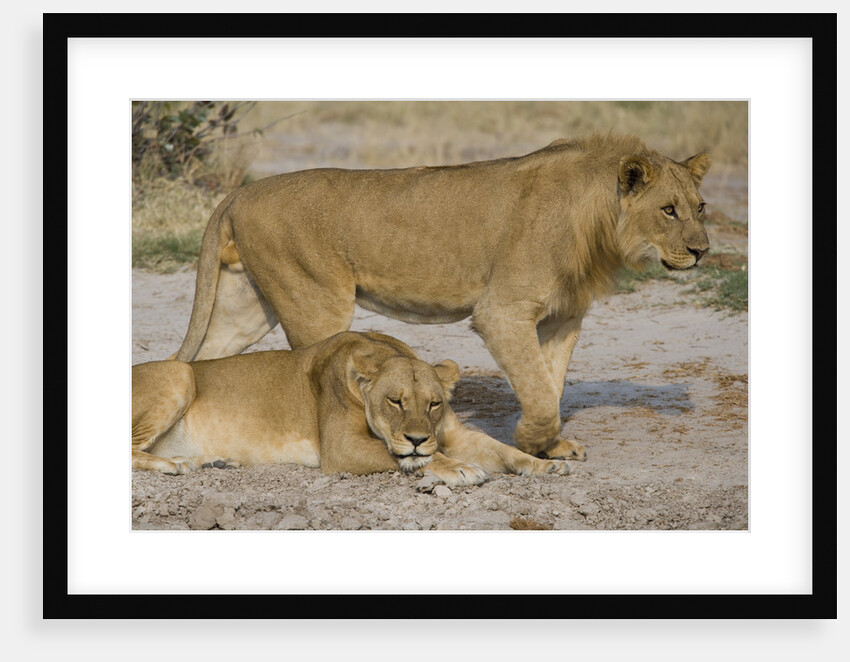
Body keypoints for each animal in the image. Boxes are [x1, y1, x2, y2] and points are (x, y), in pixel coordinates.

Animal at [134, 331, 571, 486]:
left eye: (434, 404)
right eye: (395, 401)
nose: (417, 438)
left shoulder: (453, 433)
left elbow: (502, 449)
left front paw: (544, 464)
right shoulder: (341, 449)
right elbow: (413, 456)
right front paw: (458, 468)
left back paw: (210, 462)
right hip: (179, 372)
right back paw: (177, 465)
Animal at [173, 132, 711, 461]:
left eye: (700, 207)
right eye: (668, 210)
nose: (702, 251)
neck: (597, 220)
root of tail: (240, 192)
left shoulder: (563, 318)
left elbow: (551, 383)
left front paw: (548, 447)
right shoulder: (502, 311)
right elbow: (539, 393)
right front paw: (527, 442)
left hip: (247, 304)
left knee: (202, 359)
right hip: (315, 302)